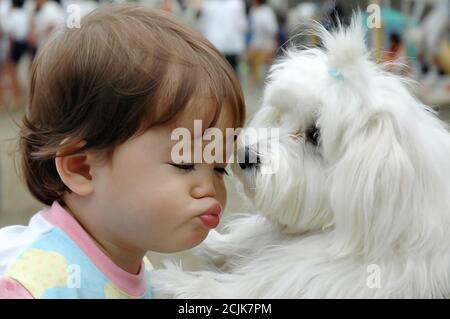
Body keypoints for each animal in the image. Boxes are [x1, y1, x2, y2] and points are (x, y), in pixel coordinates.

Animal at [151, 15, 450, 300]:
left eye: (315, 135)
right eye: (281, 115)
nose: (246, 155)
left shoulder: (326, 277)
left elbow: (257, 285)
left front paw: (176, 282)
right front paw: (215, 244)